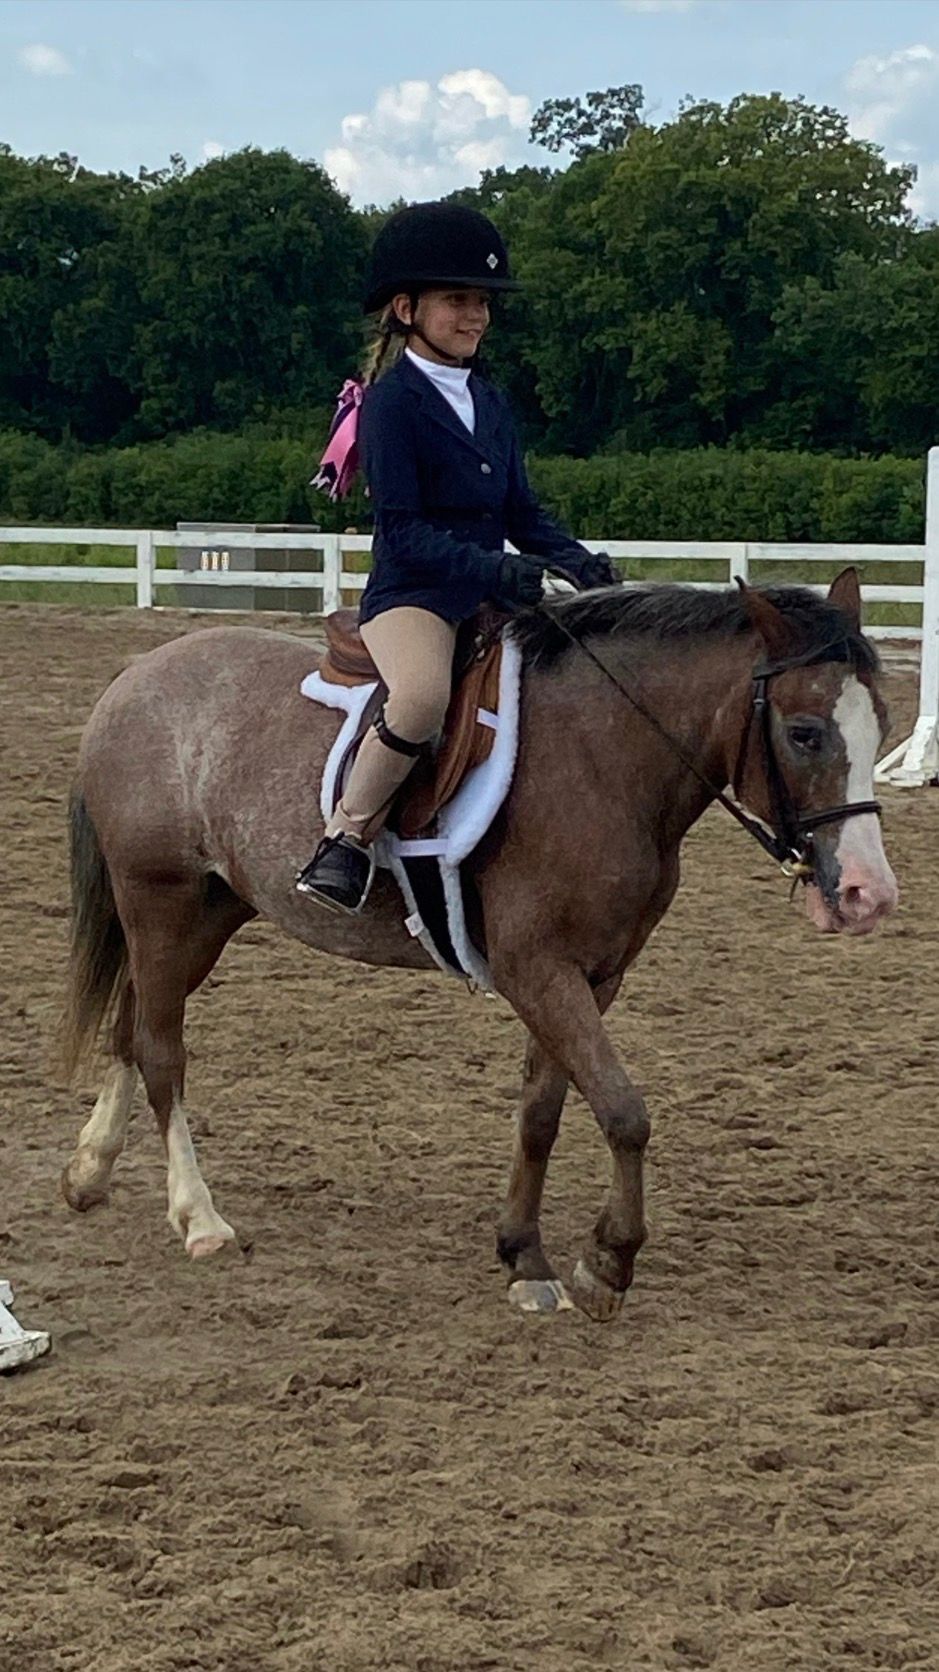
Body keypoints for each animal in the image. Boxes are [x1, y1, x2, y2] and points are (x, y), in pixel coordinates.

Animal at [59, 569, 897, 1322]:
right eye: (804, 732)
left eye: (881, 728)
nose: (868, 893)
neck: (603, 760)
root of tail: (140, 673)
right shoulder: (538, 971)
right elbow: (623, 1110)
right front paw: (606, 1264)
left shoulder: (593, 976)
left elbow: (544, 1112)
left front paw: (524, 1257)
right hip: (159, 901)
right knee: (162, 1051)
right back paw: (199, 1218)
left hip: (208, 912)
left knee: (131, 1026)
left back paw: (89, 1172)